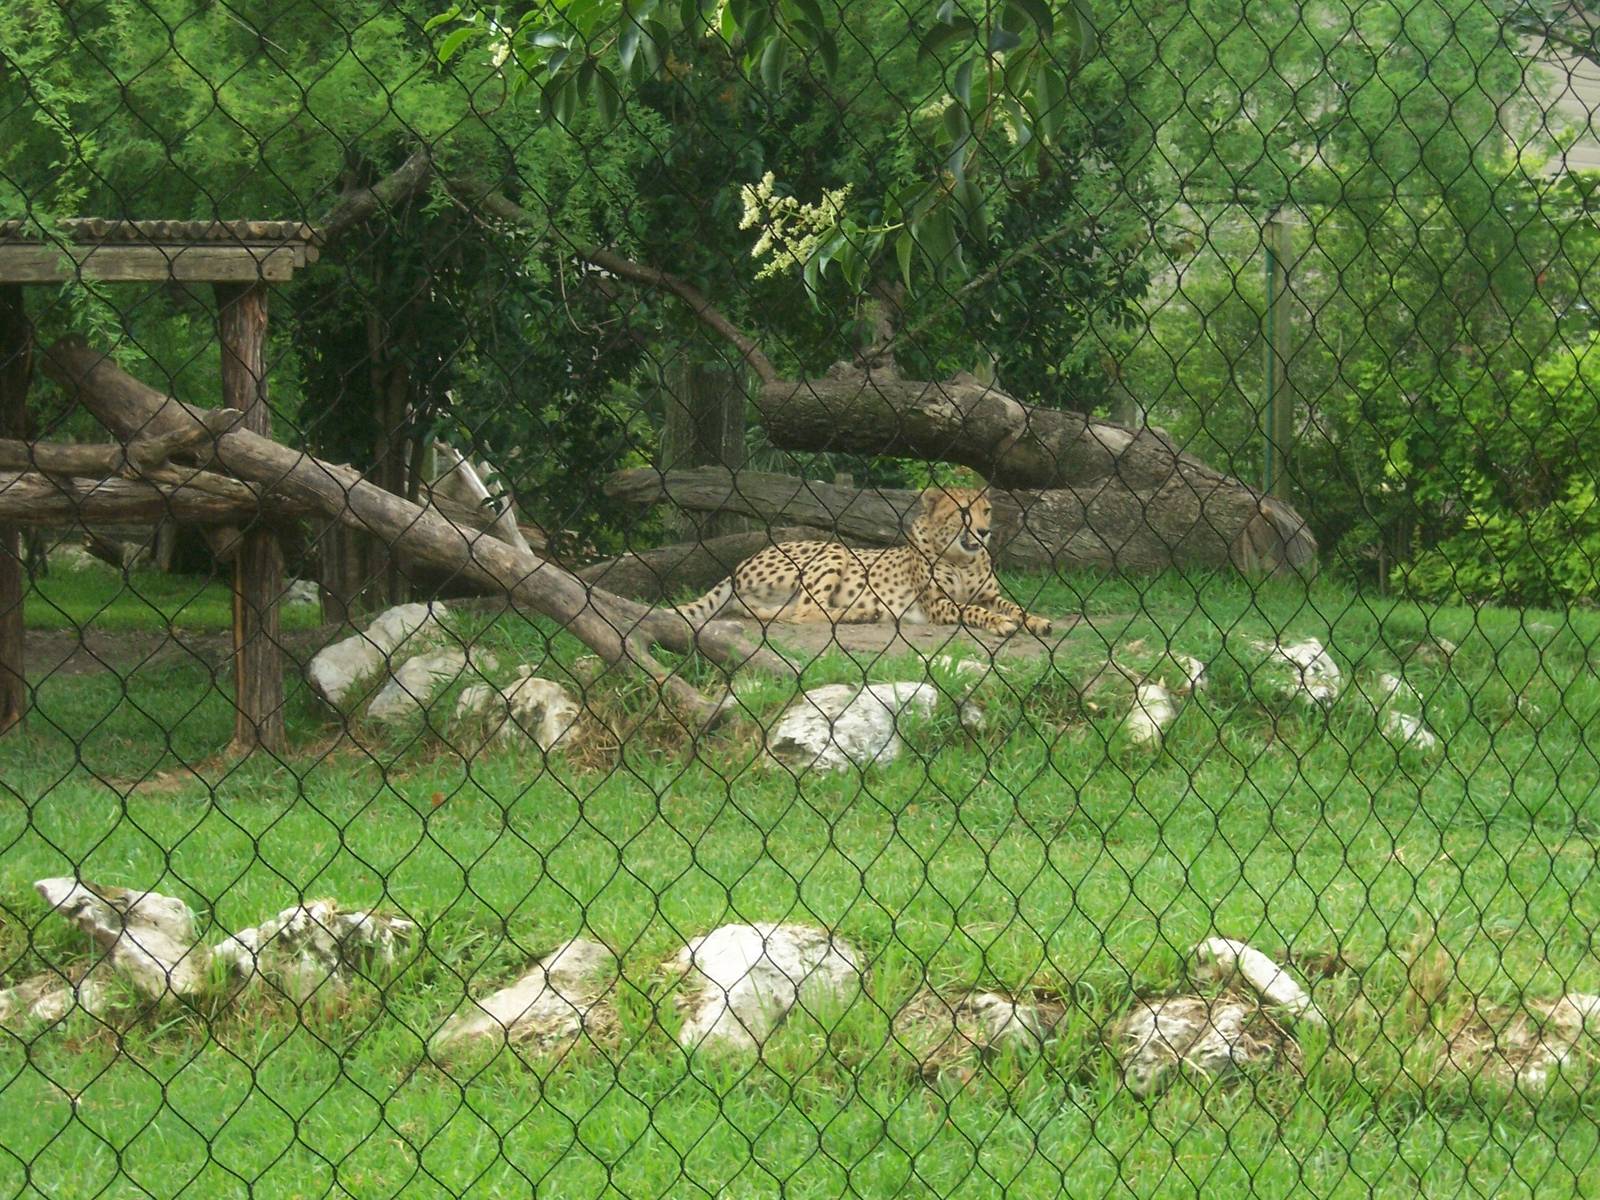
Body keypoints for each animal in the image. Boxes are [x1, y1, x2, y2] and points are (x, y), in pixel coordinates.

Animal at [674, 486, 1053, 636]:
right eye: (962, 513)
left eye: (986, 510)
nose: (985, 531)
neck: (961, 559)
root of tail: (742, 562)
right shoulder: (939, 605)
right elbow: (973, 610)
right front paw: (999, 623)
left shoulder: (990, 594)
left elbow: (1014, 606)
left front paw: (1037, 620)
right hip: (835, 550)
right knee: (805, 612)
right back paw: (862, 613)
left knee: (785, 613)